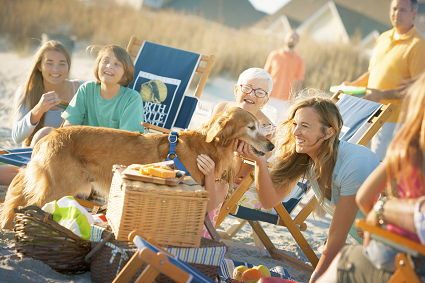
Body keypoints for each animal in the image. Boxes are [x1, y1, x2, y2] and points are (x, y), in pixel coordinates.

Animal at [0, 107, 272, 230]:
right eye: (251, 127)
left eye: (260, 126)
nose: (271, 145)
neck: (207, 145)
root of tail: (49, 136)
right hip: (60, 186)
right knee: (26, 204)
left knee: (15, 202)